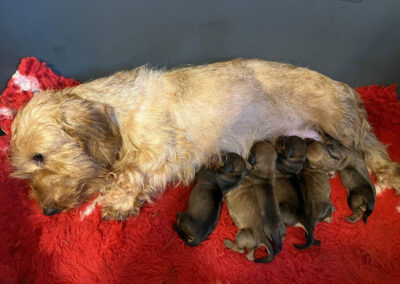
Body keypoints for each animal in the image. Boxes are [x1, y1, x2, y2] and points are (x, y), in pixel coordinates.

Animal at [10, 58, 400, 220]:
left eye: (40, 157)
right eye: (24, 169)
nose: (46, 212)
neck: (119, 110)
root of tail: (345, 87)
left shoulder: (159, 147)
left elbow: (128, 172)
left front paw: (117, 202)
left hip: (341, 122)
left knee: (373, 146)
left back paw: (388, 175)